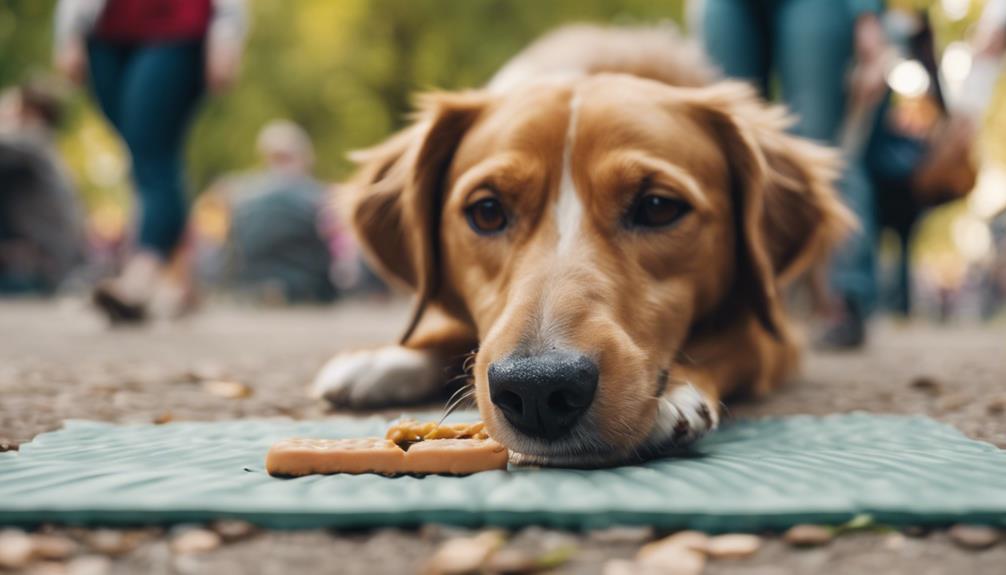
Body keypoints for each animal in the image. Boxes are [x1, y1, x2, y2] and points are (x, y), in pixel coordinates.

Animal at [309, 25, 853, 466]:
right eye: (487, 211)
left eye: (658, 206)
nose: (537, 390)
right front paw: (388, 359)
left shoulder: (775, 331)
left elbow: (731, 340)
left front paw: (677, 392)